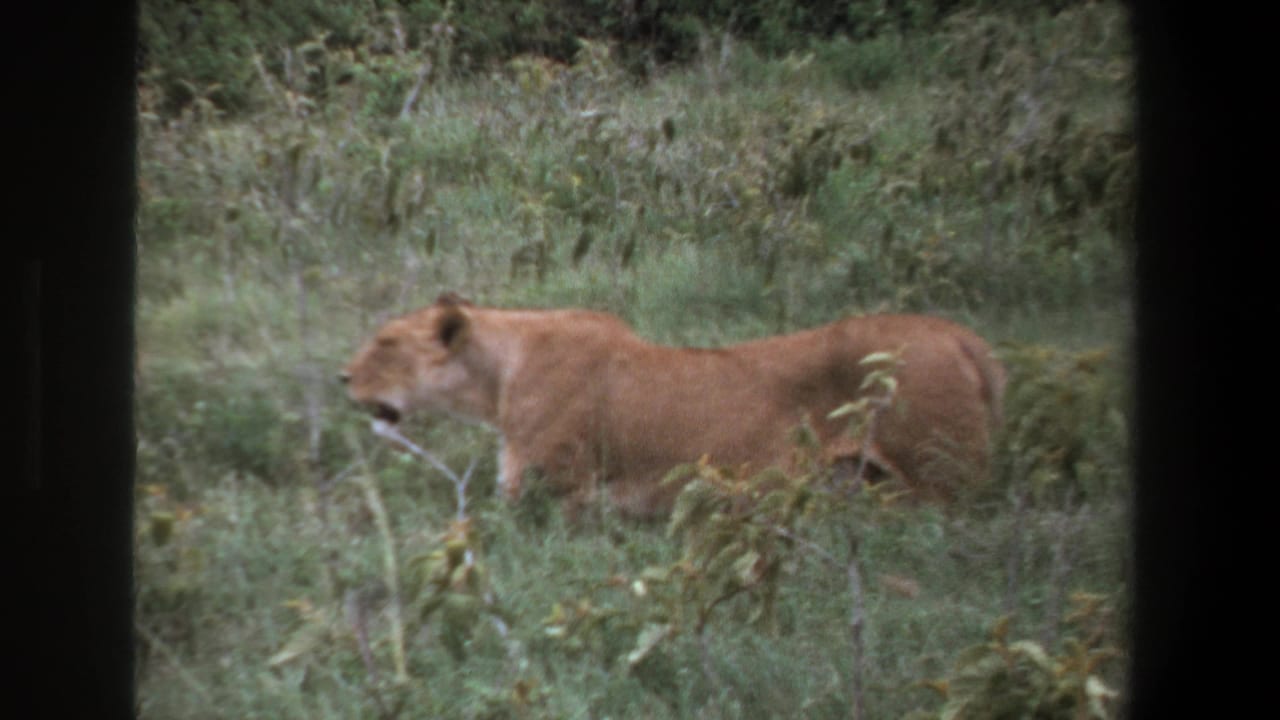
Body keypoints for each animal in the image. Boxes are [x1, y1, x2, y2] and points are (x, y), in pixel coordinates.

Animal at [341, 293, 1005, 519]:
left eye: (387, 343)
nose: (342, 377)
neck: (497, 377)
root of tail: (963, 337)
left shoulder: (556, 492)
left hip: (942, 483)